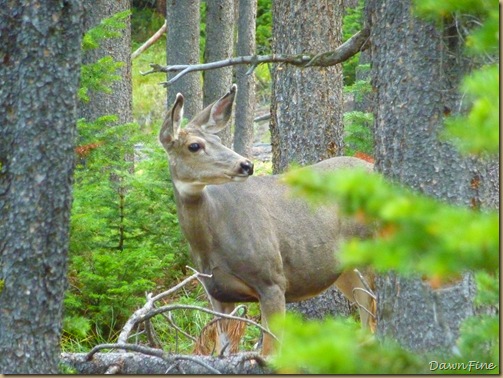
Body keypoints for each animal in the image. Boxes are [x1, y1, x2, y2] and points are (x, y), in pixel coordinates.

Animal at [159, 85, 376, 354]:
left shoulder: (272, 281)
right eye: (194, 146)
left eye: (218, 139)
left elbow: (271, 352)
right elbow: (223, 350)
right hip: (344, 269)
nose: (246, 165)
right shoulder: (217, 293)